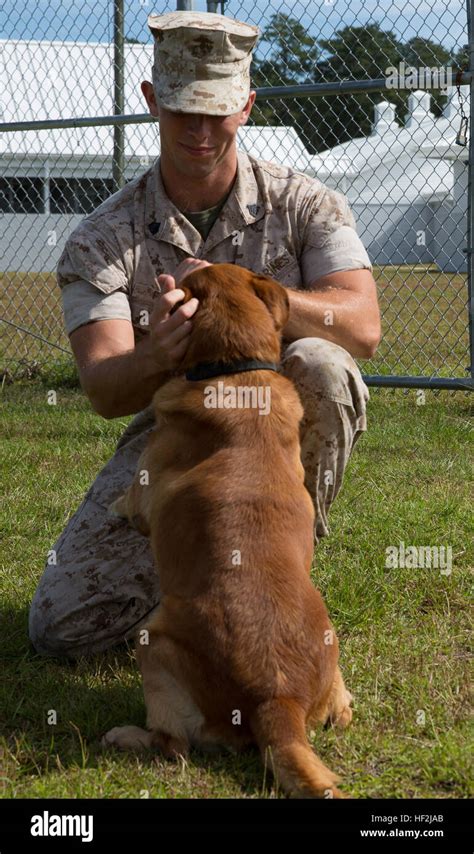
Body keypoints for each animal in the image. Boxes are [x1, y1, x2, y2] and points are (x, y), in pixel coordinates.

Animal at [101, 264, 352, 800]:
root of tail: (278, 700)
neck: (235, 372)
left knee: (173, 745)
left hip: (155, 642)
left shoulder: (143, 496)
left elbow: (130, 503)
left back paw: (129, 736)